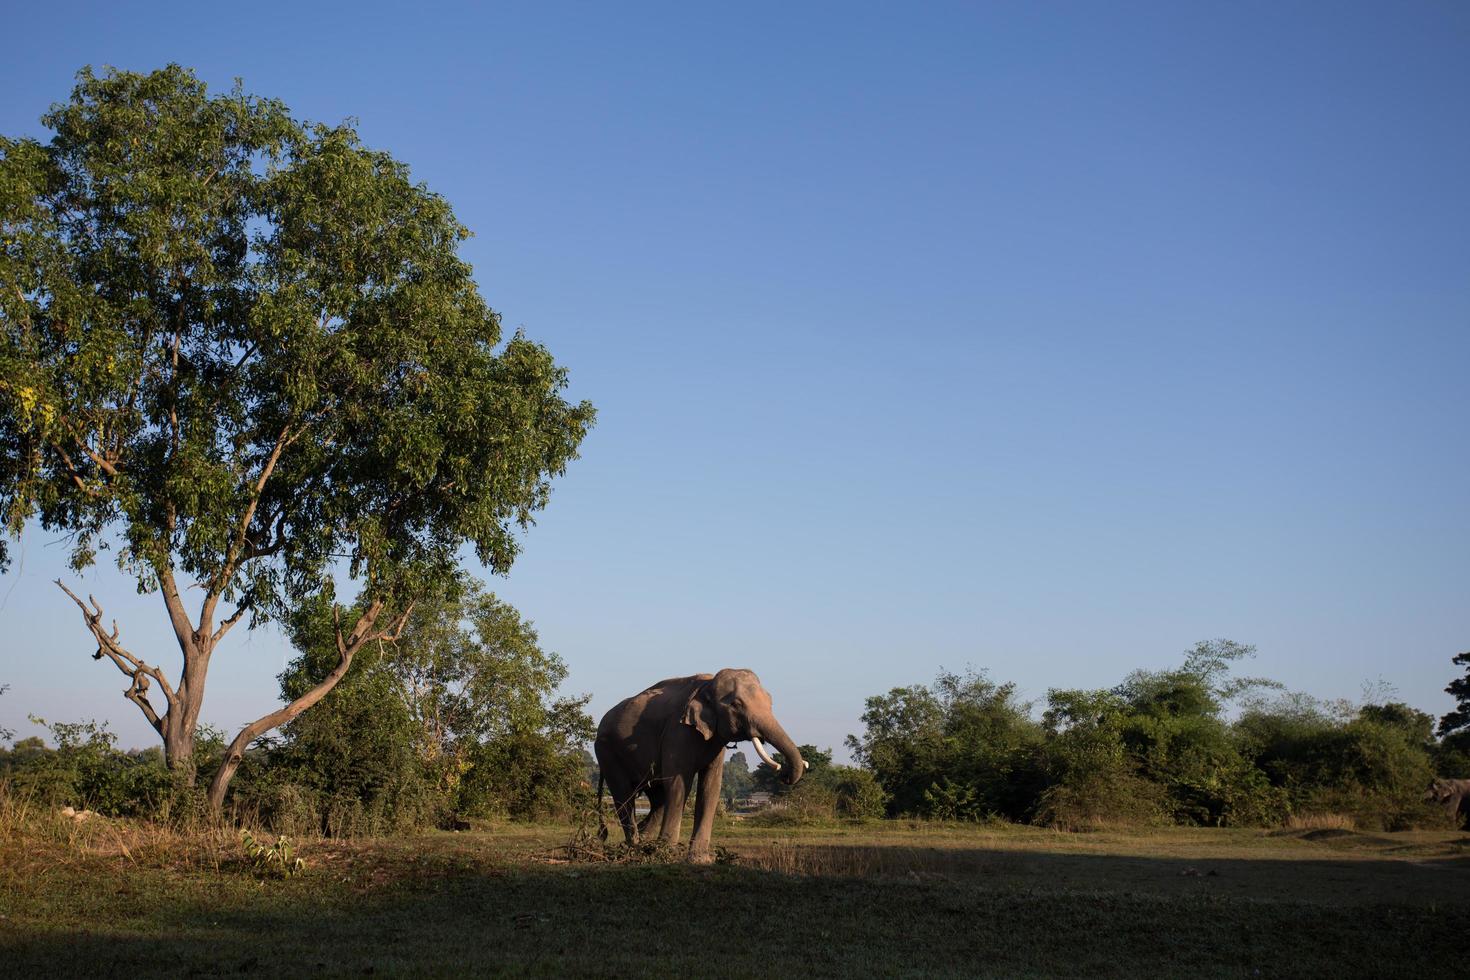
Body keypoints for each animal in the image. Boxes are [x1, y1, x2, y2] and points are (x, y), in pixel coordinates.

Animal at [590, 667, 811, 863]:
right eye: (736, 704)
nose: (783, 772)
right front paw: (668, 854)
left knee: (657, 799)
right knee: (624, 797)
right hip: (607, 752)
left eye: (770, 701)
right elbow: (679, 784)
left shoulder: (715, 740)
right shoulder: (678, 731)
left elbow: (711, 786)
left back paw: (645, 845)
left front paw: (700, 858)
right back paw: (636, 848)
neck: (707, 684)